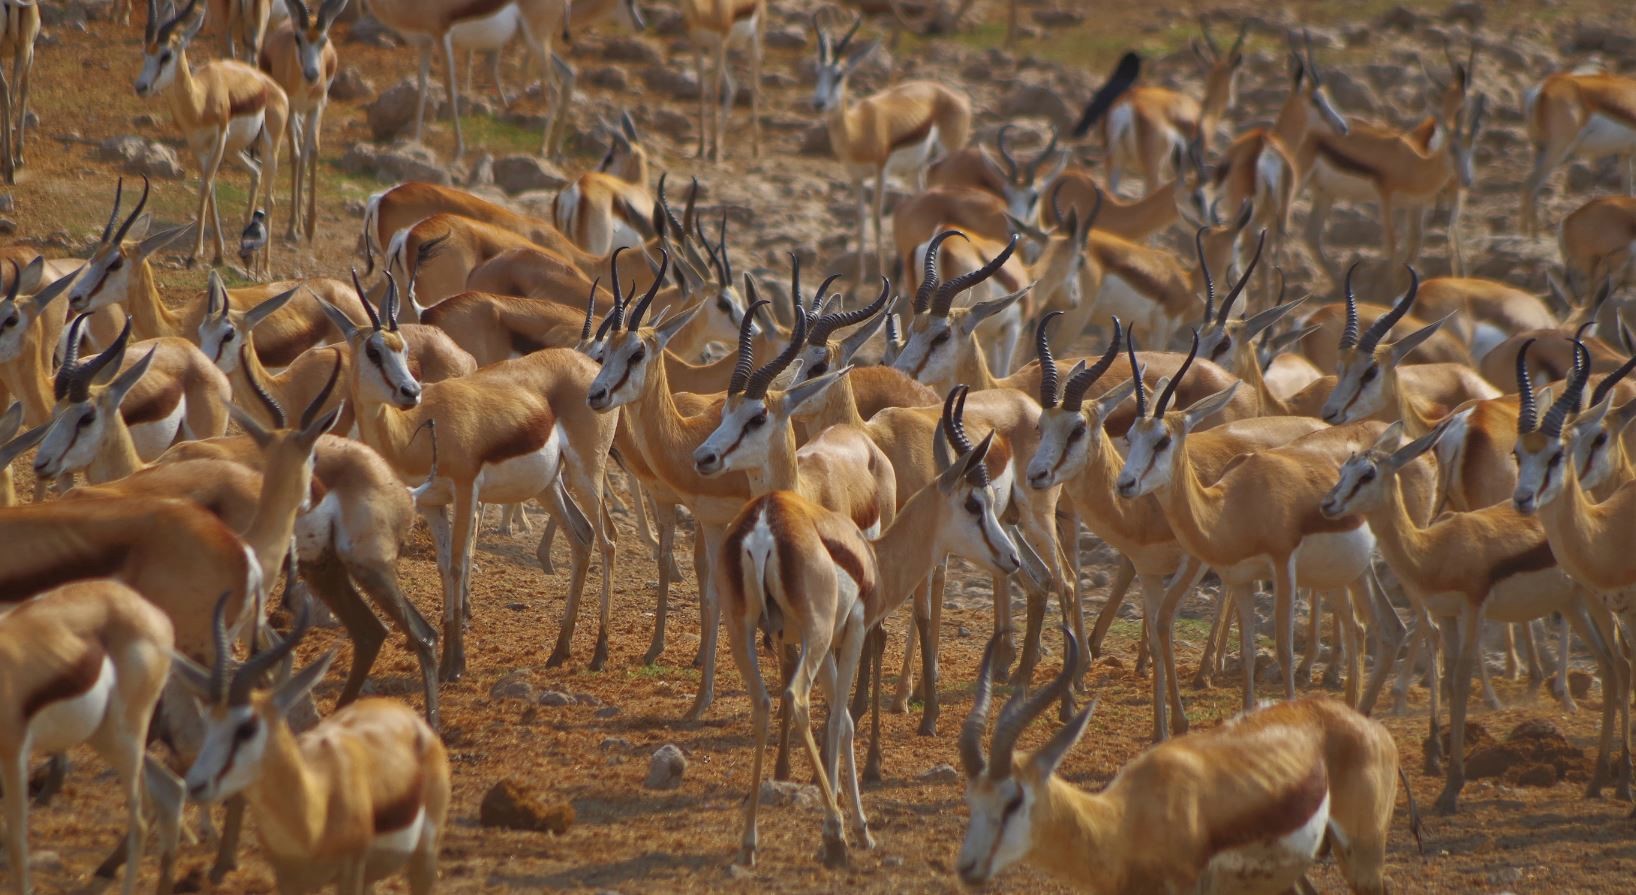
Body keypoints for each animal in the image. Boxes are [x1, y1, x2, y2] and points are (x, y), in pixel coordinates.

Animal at [135, 0, 289, 266]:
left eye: (166, 54)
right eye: (146, 52)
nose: (141, 86)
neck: (201, 98)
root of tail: (274, 88)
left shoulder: (218, 139)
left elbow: (205, 186)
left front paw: (195, 253)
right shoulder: (197, 145)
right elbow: (212, 189)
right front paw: (218, 252)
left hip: (268, 148)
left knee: (269, 197)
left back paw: (267, 265)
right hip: (234, 151)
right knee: (255, 171)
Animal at [955, 634, 1406, 895]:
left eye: (1014, 800)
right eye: (971, 800)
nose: (967, 867)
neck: (1126, 820)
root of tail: (1370, 726)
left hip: (1363, 856)